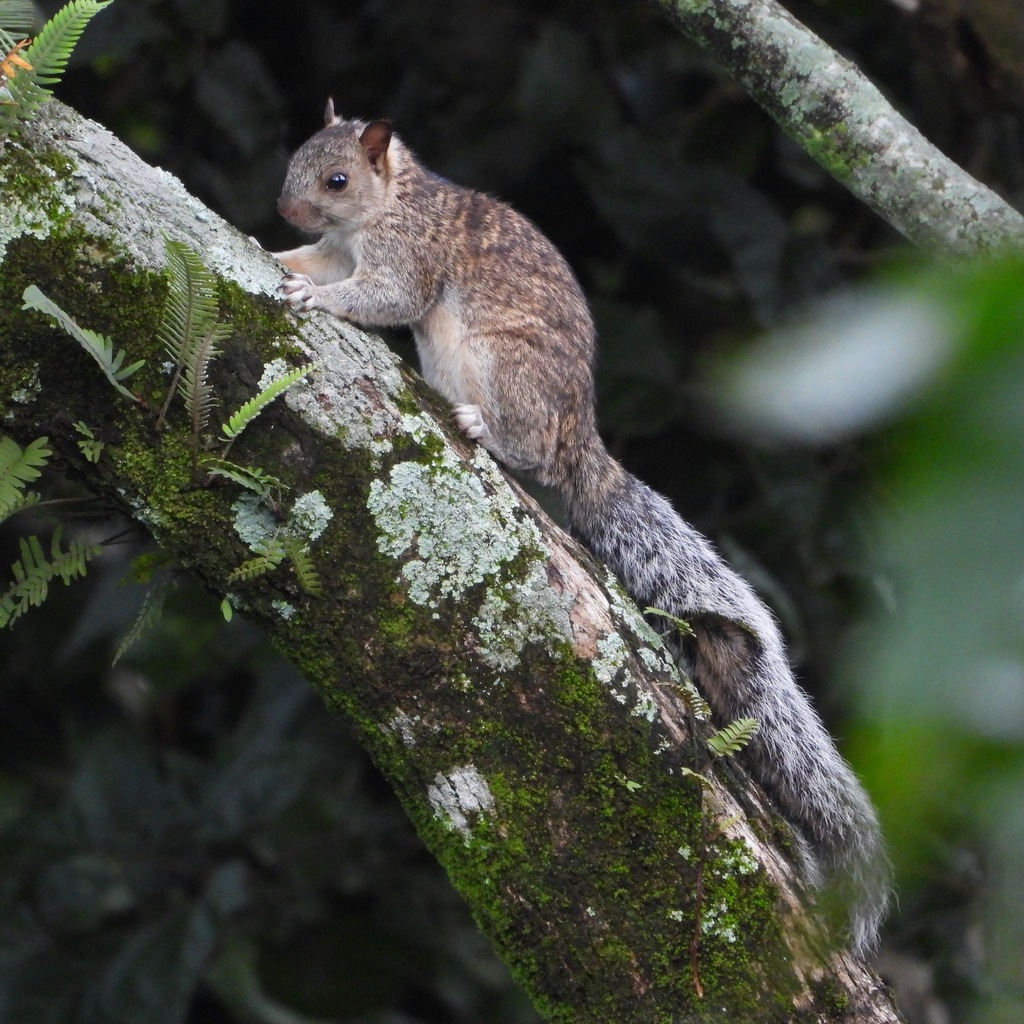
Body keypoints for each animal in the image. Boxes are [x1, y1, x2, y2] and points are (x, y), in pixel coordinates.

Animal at [273, 100, 891, 956]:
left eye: (336, 178)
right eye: (294, 155)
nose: (284, 208)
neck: (387, 203)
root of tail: (582, 445)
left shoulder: (407, 254)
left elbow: (384, 296)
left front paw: (316, 300)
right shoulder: (338, 250)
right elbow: (318, 264)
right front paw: (279, 257)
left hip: (507, 372)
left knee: (528, 450)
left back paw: (485, 428)